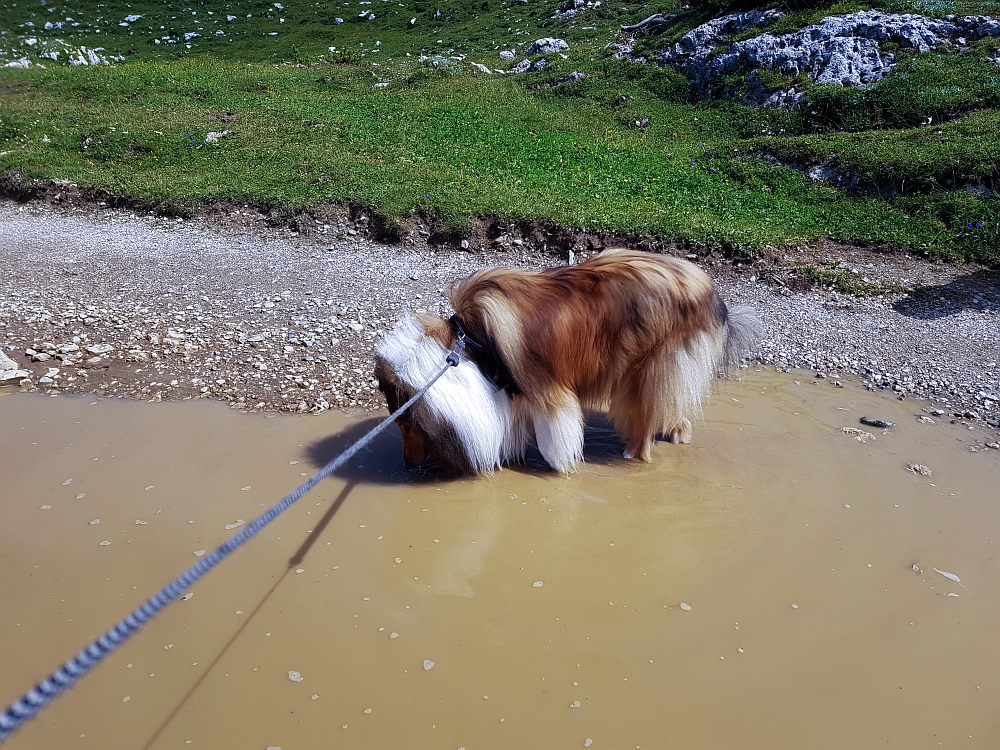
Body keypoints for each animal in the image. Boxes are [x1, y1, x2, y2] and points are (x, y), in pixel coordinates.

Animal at [374, 253, 756, 476]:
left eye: (406, 425)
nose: (408, 466)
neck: (468, 340)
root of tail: (710, 291)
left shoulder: (546, 391)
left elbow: (552, 438)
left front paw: (561, 466)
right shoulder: (515, 391)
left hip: (647, 371)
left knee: (645, 424)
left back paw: (633, 454)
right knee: (675, 411)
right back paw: (675, 432)